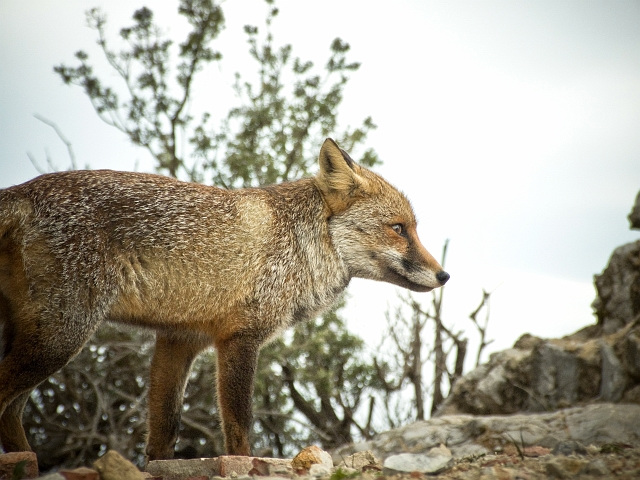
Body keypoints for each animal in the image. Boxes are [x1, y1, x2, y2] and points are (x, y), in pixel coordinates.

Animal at [0, 139, 450, 462]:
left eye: (412, 228)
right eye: (399, 228)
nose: (445, 275)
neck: (298, 242)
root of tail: (26, 188)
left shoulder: (178, 340)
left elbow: (163, 436)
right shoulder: (240, 337)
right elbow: (239, 429)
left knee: (10, 414)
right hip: (60, 337)